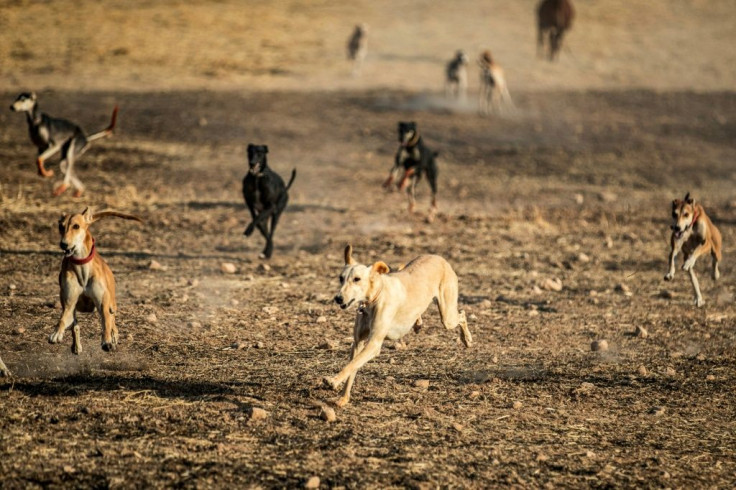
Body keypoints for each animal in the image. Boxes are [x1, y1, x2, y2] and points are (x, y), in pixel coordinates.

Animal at [50, 206, 142, 352]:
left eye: (76, 226)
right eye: (61, 226)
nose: (63, 244)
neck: (81, 265)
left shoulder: (103, 303)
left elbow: (106, 321)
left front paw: (107, 340)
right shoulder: (69, 303)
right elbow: (64, 319)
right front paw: (57, 333)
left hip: (112, 303)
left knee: (112, 318)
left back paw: (113, 336)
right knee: (75, 325)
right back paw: (76, 346)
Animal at [324, 244, 474, 406]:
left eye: (357, 279)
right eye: (341, 278)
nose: (338, 298)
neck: (376, 297)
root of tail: (439, 258)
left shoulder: (374, 344)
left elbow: (352, 365)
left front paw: (332, 381)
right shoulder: (358, 343)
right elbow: (352, 367)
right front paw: (343, 398)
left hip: (447, 317)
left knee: (462, 314)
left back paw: (467, 339)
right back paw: (418, 323)